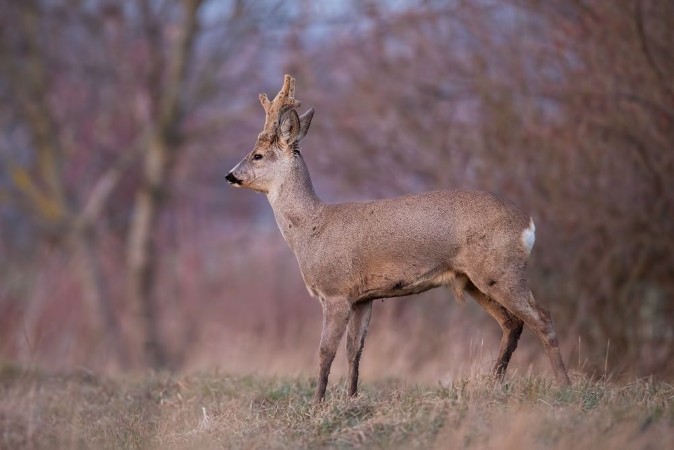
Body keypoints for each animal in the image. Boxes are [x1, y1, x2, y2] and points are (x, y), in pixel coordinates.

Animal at [226, 75, 571, 403]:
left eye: (257, 155)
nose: (230, 175)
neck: (312, 227)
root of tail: (528, 224)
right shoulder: (363, 296)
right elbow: (355, 350)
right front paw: (351, 399)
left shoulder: (336, 291)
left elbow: (326, 351)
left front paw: (317, 404)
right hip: (475, 279)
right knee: (512, 323)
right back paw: (493, 383)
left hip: (500, 269)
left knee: (542, 318)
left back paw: (564, 385)